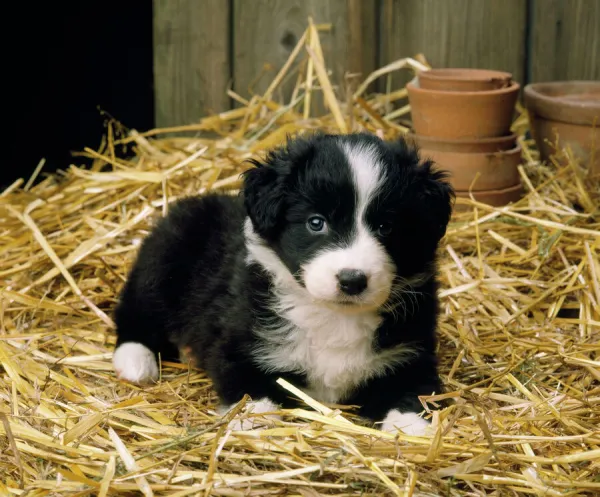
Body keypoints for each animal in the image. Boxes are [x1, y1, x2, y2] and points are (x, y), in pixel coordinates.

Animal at [112, 131, 452, 434]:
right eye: (316, 222)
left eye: (386, 227)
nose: (352, 280)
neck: (334, 316)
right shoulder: (243, 346)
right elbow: (254, 391)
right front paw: (251, 421)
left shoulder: (407, 354)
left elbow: (411, 393)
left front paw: (411, 427)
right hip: (162, 265)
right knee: (135, 313)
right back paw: (136, 362)